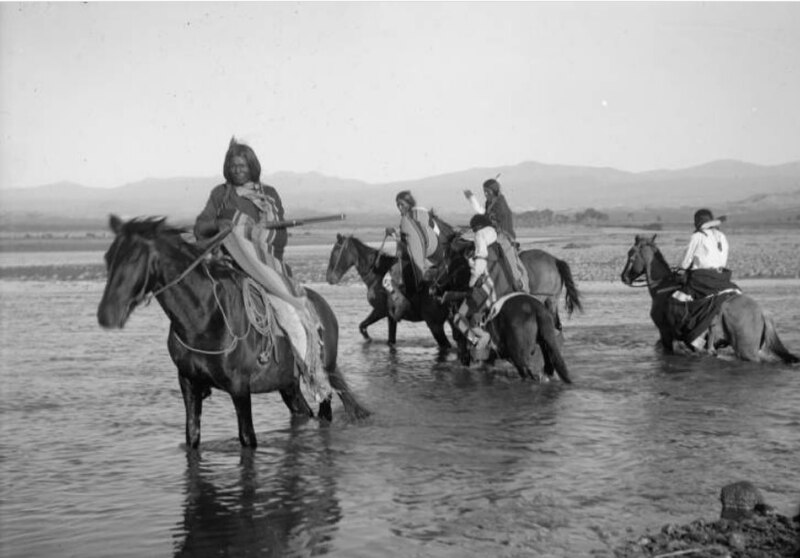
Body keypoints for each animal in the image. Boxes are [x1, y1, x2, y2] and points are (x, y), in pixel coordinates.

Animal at [97, 214, 372, 450]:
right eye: (108, 257)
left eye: (134, 258)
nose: (106, 314)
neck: (204, 319)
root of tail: (322, 306)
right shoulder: (188, 383)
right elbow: (192, 437)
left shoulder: (239, 388)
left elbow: (247, 438)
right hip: (288, 384)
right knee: (303, 411)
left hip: (321, 373)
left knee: (324, 412)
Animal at [620, 234, 800, 366]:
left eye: (630, 255)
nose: (624, 277)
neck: (663, 289)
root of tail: (761, 312)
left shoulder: (665, 333)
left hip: (746, 351)